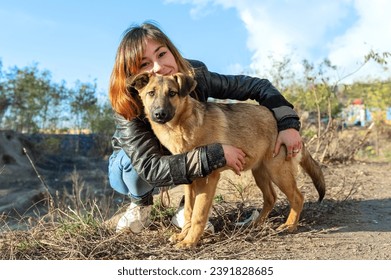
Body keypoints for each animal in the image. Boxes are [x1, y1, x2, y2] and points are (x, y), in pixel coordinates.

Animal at [130, 72, 326, 247]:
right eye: (151, 93)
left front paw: (190, 241)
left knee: (298, 197)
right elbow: (188, 211)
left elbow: (198, 213)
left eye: (172, 93)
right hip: (260, 172)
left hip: (278, 171)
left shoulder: (208, 179)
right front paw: (183, 235)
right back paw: (256, 223)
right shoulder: (190, 177)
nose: (159, 114)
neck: (182, 126)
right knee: (271, 197)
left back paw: (289, 225)